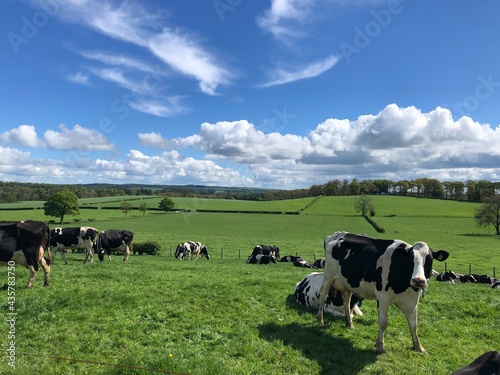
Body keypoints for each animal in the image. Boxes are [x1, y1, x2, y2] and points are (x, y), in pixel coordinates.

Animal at [318, 232, 452, 356]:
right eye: (410, 258)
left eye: (429, 259)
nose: (418, 280)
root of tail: (337, 234)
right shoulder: (383, 297)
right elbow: (383, 322)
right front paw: (380, 346)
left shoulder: (412, 300)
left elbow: (414, 325)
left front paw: (418, 346)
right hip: (328, 276)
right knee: (323, 295)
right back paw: (320, 320)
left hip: (347, 283)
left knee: (346, 301)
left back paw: (349, 324)